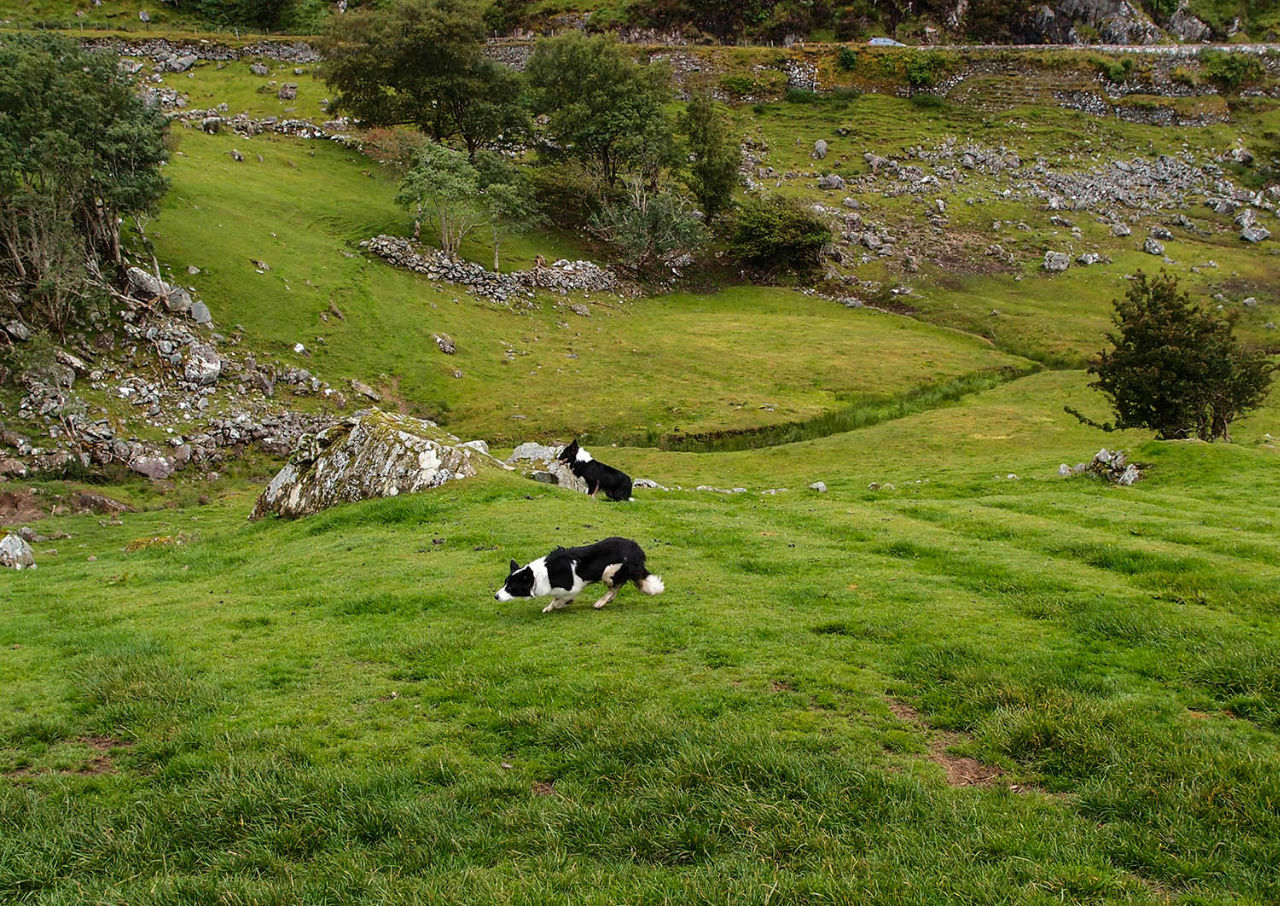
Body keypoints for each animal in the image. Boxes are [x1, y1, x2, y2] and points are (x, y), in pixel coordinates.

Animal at [491, 537, 665, 616]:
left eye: (511, 587)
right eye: (505, 583)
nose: (495, 596)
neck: (542, 575)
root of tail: (637, 549)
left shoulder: (574, 587)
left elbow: (559, 600)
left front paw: (560, 604)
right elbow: (555, 598)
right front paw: (551, 606)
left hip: (608, 571)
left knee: (616, 585)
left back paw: (601, 601)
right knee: (618, 585)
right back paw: (608, 600)